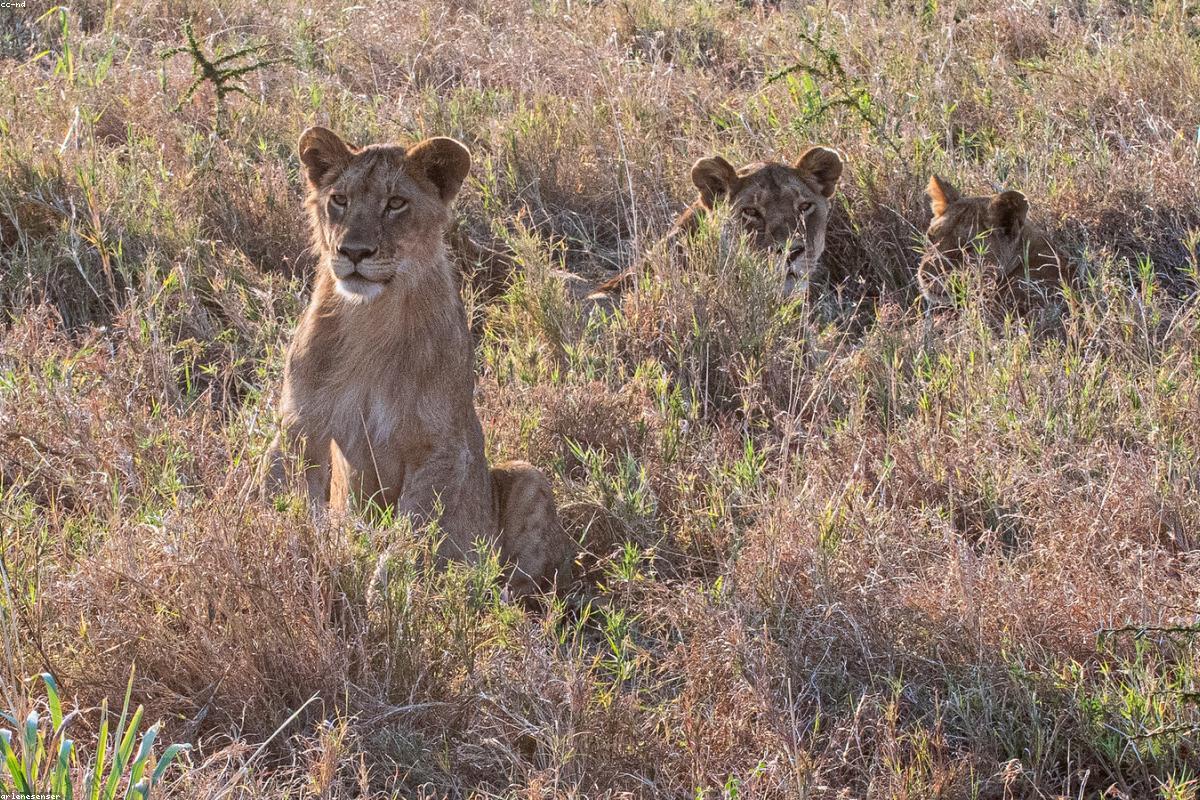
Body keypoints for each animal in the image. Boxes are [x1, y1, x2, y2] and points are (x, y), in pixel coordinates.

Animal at [266, 126, 574, 597]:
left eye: (396, 203)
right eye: (340, 199)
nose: (353, 251)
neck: (371, 317)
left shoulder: (439, 447)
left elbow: (411, 535)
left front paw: (384, 596)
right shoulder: (302, 426)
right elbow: (288, 505)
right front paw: (295, 563)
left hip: (528, 476)